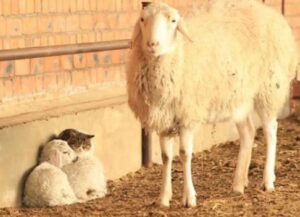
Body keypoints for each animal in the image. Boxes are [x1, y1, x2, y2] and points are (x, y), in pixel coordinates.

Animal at [126, 0, 298, 208]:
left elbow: (184, 154)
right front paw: (163, 198)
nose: (152, 44)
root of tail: (271, 13)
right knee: (248, 132)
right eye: (143, 19)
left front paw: (189, 197)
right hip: (239, 98)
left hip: (269, 89)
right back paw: (238, 183)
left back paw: (267, 180)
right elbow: (166, 157)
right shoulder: (164, 119)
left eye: (173, 21)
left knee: (271, 131)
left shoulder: (188, 116)